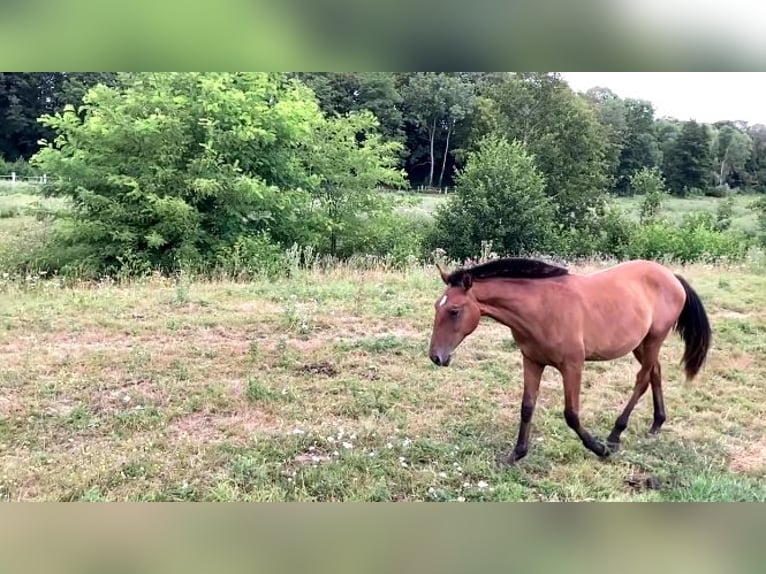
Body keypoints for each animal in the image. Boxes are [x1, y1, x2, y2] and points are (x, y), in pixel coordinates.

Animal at [427, 257, 711, 465]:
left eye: (454, 311)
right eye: (436, 306)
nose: (436, 357)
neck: (542, 308)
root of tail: (672, 277)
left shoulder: (573, 365)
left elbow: (571, 414)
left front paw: (599, 449)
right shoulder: (532, 361)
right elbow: (527, 407)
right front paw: (515, 455)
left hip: (653, 339)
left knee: (642, 380)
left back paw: (615, 435)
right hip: (640, 343)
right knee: (655, 372)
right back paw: (657, 423)